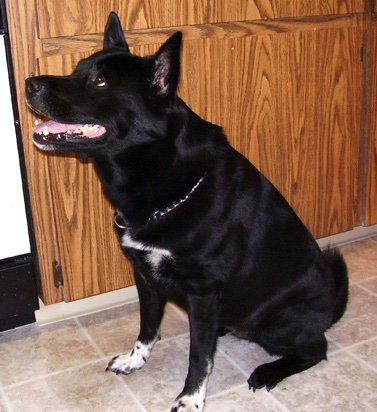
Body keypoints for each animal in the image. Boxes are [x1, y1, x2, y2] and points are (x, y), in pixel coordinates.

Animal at [25, 12, 346, 412]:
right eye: (76, 69)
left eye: (99, 81)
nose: (28, 84)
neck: (161, 176)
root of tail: (332, 304)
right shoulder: (145, 276)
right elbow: (148, 327)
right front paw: (135, 360)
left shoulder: (203, 292)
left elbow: (199, 356)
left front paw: (191, 398)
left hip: (276, 323)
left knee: (317, 349)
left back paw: (268, 372)